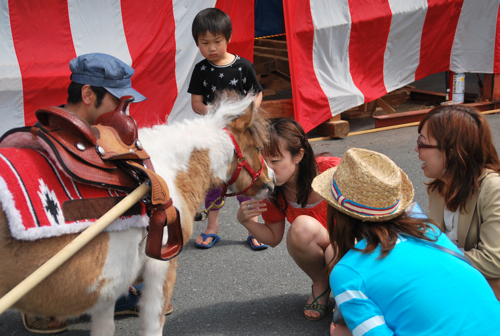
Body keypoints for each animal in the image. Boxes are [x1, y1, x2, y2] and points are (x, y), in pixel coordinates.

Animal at [0, 93, 274, 334]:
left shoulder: (107, 285)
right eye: (259, 148)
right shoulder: (159, 269)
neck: (166, 171)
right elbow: (152, 325)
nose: (271, 181)